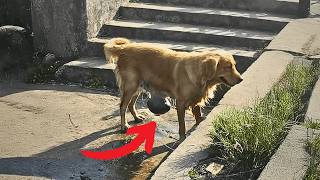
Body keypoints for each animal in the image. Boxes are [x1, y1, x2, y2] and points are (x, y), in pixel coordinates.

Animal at [105, 37, 242, 139]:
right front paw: (183, 137)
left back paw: (137, 117)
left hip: (138, 87)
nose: (241, 79)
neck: (201, 75)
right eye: (228, 67)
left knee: (130, 105)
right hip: (131, 86)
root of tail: (125, 48)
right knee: (122, 106)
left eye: (234, 65)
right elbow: (182, 125)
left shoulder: (195, 98)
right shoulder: (180, 103)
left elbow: (197, 114)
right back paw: (124, 126)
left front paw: (199, 123)